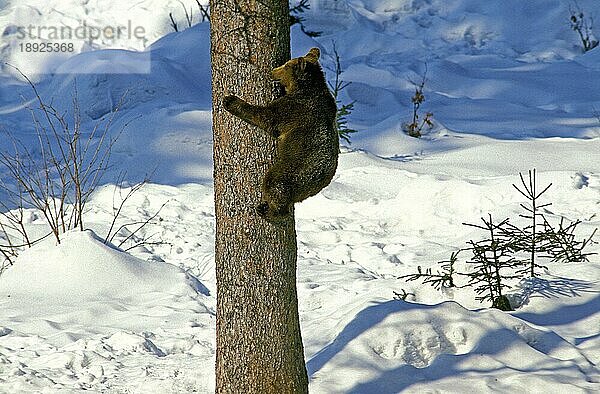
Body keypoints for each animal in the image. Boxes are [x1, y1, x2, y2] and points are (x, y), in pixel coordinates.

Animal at [224, 47, 338, 222]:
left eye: (285, 65)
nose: (271, 71)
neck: (305, 87)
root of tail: (317, 184)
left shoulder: (294, 109)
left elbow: (267, 116)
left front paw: (230, 100)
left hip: (291, 172)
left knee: (273, 184)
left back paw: (267, 210)